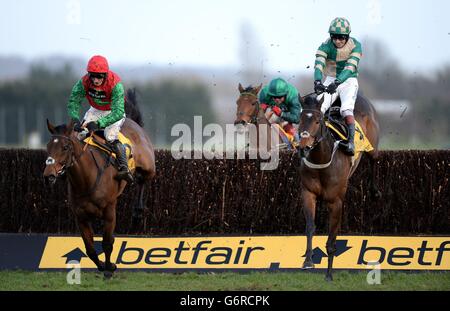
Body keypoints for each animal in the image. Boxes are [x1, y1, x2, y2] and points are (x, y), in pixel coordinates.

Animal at [43, 91, 156, 280]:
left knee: (143, 180)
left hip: (148, 165)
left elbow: (107, 243)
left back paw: (137, 212)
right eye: (48, 146)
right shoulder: (81, 217)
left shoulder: (109, 212)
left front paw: (110, 267)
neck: (86, 180)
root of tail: (131, 121)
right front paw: (103, 265)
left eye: (65, 147)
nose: (48, 175)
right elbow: (89, 249)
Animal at [298, 91, 380, 282]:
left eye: (317, 121)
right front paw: (308, 261)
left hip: (372, 145)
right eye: (300, 119)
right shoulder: (308, 193)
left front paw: (329, 274)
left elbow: (332, 239)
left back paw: (374, 191)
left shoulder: (336, 202)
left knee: (374, 158)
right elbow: (310, 227)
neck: (323, 161)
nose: (303, 147)